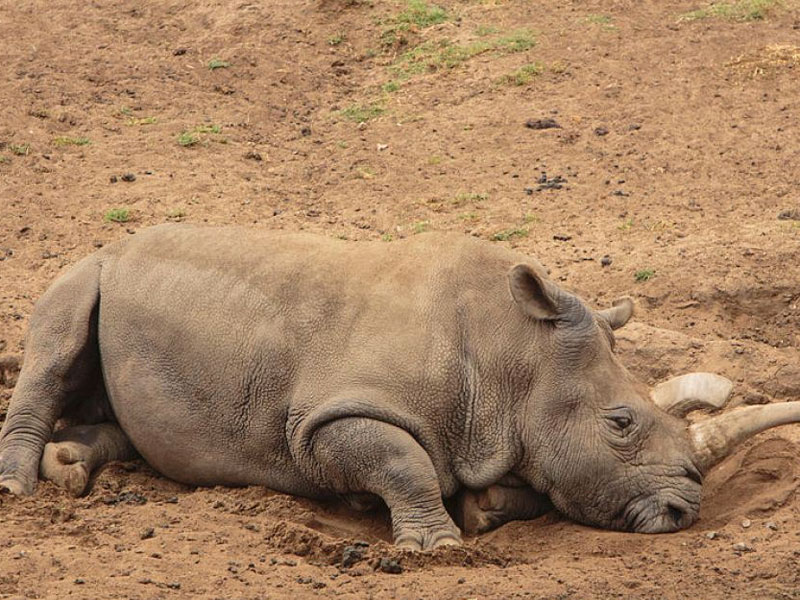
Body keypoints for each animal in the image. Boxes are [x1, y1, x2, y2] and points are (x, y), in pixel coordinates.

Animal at [1, 224, 798, 549]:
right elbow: (400, 460)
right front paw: (435, 546)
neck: (514, 354)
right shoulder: (320, 420)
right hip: (89, 267)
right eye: (621, 424)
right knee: (57, 338)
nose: (683, 510)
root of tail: (116, 243)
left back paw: (70, 468)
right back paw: (21, 488)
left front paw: (482, 508)